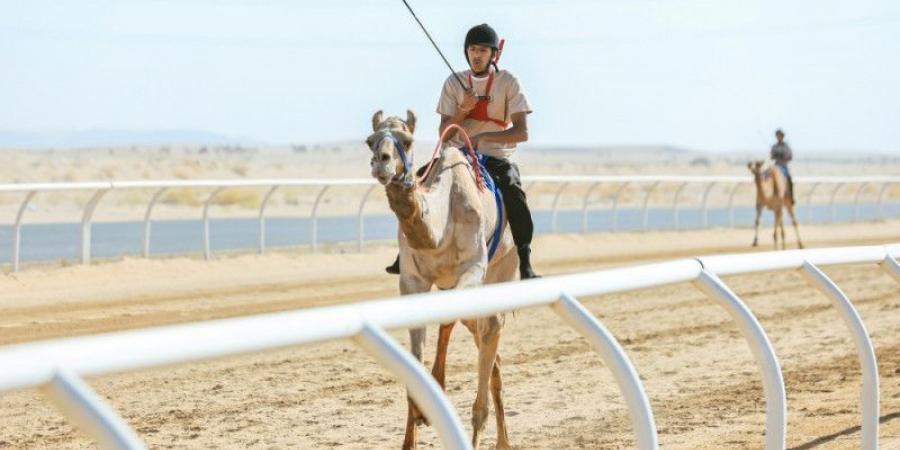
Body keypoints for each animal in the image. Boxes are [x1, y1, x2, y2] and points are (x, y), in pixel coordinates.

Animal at [366, 110, 520, 450]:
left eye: (407, 140)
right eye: (369, 140)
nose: (381, 162)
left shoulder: (472, 268)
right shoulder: (412, 282)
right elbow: (417, 353)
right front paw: (417, 423)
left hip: (503, 266)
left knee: (492, 330)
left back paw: (490, 435)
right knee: (485, 345)